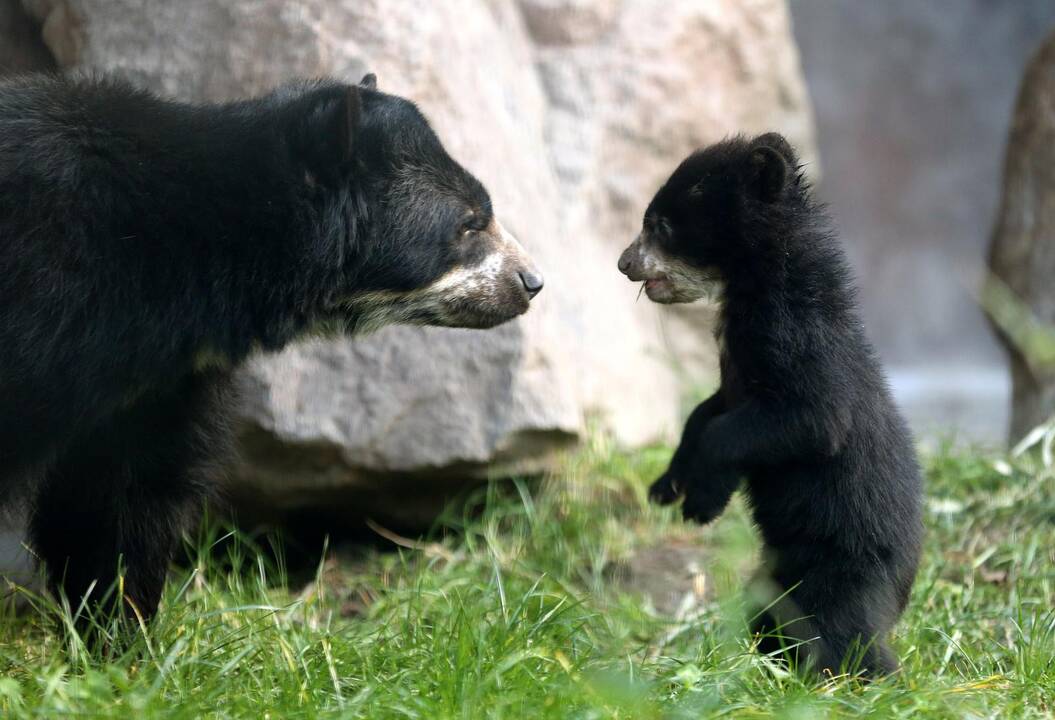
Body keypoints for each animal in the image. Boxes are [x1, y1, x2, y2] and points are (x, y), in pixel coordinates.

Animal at [0, 74, 544, 620]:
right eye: (468, 223)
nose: (533, 282)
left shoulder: (160, 384)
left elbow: (123, 497)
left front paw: (117, 629)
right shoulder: (43, 303)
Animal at [616, 131, 924, 675]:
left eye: (662, 225)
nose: (624, 263)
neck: (753, 286)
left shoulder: (796, 339)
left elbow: (808, 420)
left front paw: (701, 501)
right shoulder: (733, 374)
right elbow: (703, 413)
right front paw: (666, 485)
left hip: (844, 567)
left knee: (843, 634)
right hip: (775, 576)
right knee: (772, 613)